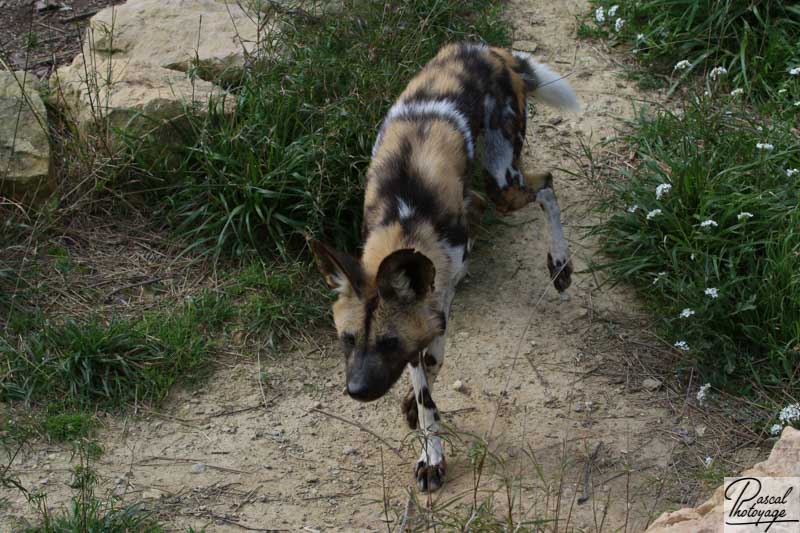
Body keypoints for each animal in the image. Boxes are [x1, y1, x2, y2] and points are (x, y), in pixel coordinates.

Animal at [312, 41, 580, 490]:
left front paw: (427, 441)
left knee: (545, 184)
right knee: (486, 202)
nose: (358, 391)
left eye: (389, 343)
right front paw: (427, 443)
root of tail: (485, 49)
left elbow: (430, 371)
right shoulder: (425, 312)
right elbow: (424, 387)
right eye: (347, 339)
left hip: (504, 181)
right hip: (492, 185)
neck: (406, 217)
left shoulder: (434, 312)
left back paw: (559, 263)